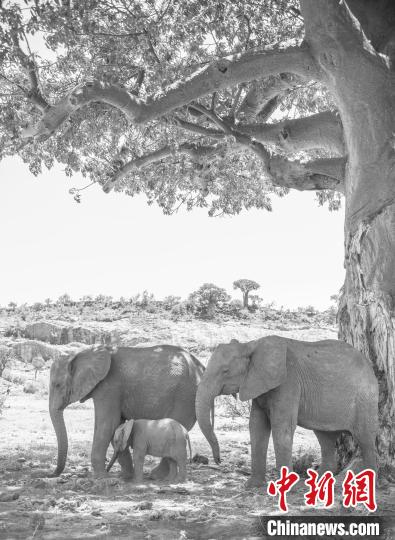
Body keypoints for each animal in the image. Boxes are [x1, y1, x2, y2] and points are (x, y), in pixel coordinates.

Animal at [47, 344, 204, 478]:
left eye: (57, 385)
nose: (51, 474)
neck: (83, 352)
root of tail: (200, 367)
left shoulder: (109, 386)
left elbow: (107, 425)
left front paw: (101, 478)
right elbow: (117, 425)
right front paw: (125, 476)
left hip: (184, 396)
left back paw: (155, 476)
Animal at [196, 336, 378, 488]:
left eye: (225, 371)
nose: (218, 461)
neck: (250, 345)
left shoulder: (288, 382)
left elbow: (281, 427)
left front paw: (285, 488)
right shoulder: (258, 385)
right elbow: (256, 426)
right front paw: (252, 486)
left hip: (365, 399)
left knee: (365, 439)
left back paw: (371, 482)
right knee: (324, 438)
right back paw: (318, 482)